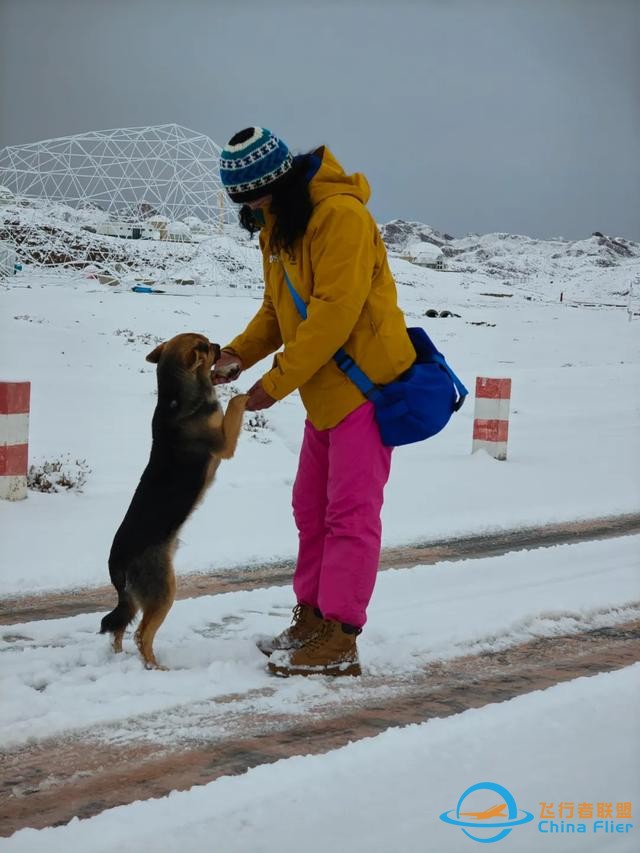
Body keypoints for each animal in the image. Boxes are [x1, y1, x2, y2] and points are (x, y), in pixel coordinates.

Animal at [100, 332, 248, 672]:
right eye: (206, 345)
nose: (220, 346)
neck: (176, 397)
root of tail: (117, 562)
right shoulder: (224, 443)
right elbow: (234, 402)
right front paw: (248, 392)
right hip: (163, 589)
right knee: (141, 634)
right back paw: (155, 667)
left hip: (135, 597)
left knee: (119, 626)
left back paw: (118, 658)